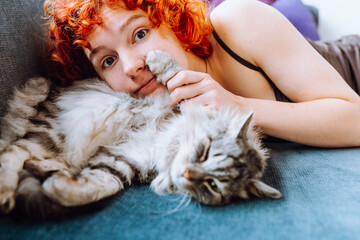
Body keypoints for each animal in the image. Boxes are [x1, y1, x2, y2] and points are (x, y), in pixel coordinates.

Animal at [0, 49, 282, 218]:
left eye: (212, 185)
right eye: (205, 153)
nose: (187, 173)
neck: (166, 149)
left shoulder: (125, 160)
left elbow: (102, 184)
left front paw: (60, 189)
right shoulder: (184, 99)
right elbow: (176, 73)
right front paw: (156, 58)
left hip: (51, 147)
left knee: (23, 157)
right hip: (53, 133)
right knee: (12, 150)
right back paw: (5, 191)